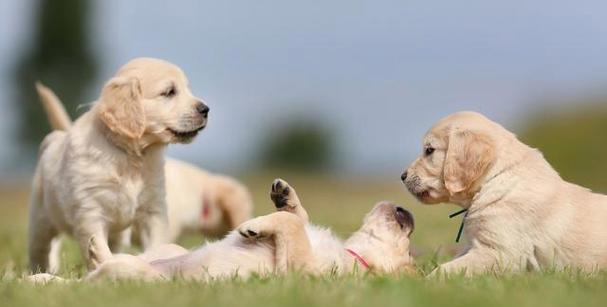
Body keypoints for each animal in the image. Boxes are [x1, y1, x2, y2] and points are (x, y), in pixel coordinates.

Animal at [29, 57, 210, 274]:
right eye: (169, 92)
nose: (206, 110)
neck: (130, 157)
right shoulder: (90, 213)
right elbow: (98, 245)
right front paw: (106, 266)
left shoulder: (154, 210)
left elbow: (157, 244)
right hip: (41, 220)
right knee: (39, 249)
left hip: (117, 234)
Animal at [30, 180, 416, 284]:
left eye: (408, 252)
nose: (407, 213)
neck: (356, 257)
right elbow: (298, 217)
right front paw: (284, 196)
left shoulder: (300, 271)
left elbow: (292, 225)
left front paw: (252, 227)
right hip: (168, 248)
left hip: (140, 277)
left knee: (92, 278)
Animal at [404, 112, 607, 276]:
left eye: (429, 150)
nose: (402, 176)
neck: (495, 179)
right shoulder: (475, 245)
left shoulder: (500, 253)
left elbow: (447, 269)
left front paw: (426, 282)